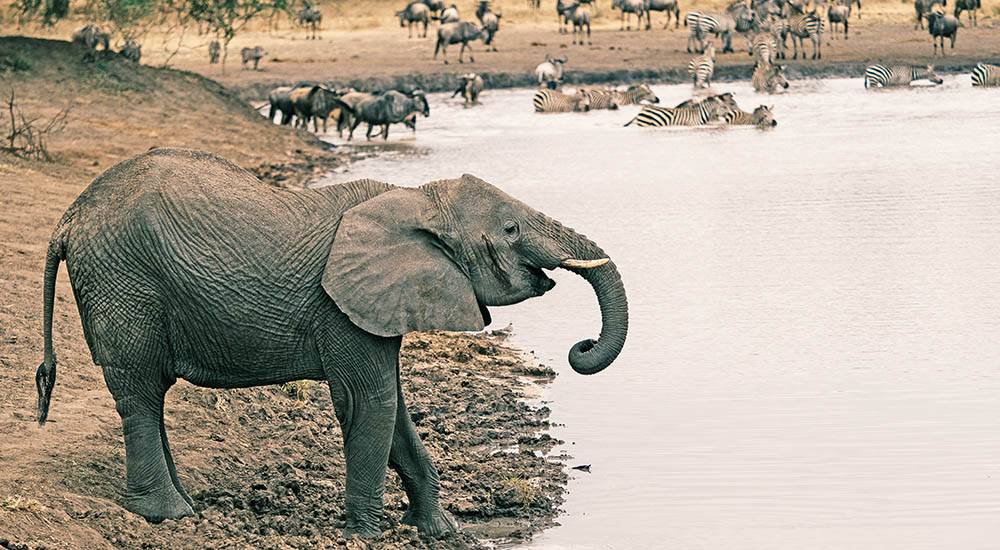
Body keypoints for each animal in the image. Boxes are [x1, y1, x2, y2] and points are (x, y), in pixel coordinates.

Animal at [34, 148, 628, 538]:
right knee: (140, 391)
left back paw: (185, 506)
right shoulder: (341, 306)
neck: (418, 198)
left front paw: (438, 531)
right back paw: (168, 515)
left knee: (148, 395)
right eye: (509, 230)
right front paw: (368, 535)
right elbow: (371, 403)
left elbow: (395, 408)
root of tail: (69, 218)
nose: (580, 347)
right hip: (123, 281)